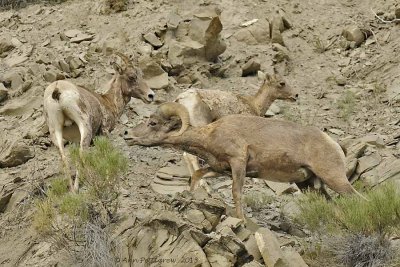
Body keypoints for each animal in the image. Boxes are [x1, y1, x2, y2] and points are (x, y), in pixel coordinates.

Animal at [43, 52, 155, 194]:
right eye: (131, 77)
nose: (151, 96)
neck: (108, 102)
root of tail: (57, 89)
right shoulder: (105, 131)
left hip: (55, 131)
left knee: (64, 158)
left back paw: (72, 191)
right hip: (85, 127)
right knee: (82, 153)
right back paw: (77, 187)